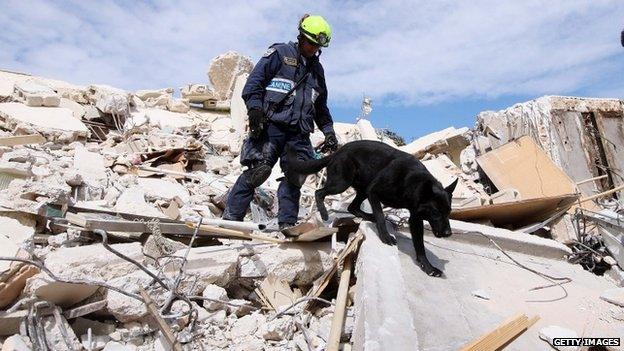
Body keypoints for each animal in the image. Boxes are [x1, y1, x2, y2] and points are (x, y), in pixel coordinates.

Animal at [288, 140, 458, 278]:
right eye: (436, 212)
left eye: (448, 212)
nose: (448, 234)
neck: (413, 182)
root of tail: (337, 152)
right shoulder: (374, 192)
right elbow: (381, 217)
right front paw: (385, 237)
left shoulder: (415, 217)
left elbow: (420, 245)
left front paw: (428, 267)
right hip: (343, 182)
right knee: (319, 192)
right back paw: (324, 213)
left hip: (362, 188)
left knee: (352, 206)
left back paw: (369, 216)